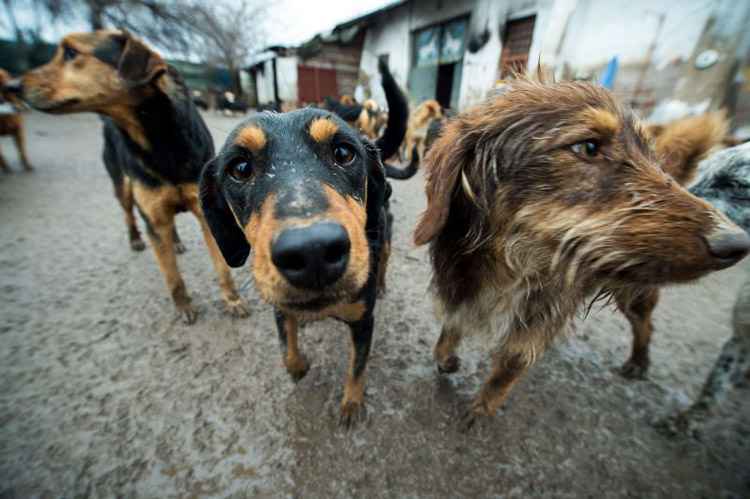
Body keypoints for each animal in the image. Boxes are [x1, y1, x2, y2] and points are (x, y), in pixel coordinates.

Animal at [10, 31, 248, 326]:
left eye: (71, 52)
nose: (12, 86)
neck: (159, 139)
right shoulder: (153, 212)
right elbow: (172, 276)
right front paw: (183, 306)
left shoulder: (203, 211)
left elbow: (222, 267)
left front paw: (232, 300)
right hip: (122, 187)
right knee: (129, 214)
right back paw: (136, 239)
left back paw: (176, 242)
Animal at [200, 60, 408, 428]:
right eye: (240, 168)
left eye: (343, 152)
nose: (313, 252)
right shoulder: (280, 307)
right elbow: (287, 345)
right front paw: (297, 365)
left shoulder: (363, 322)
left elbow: (357, 368)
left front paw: (351, 402)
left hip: (385, 238)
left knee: (383, 259)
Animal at [414, 77, 750, 430]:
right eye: (588, 147)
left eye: (649, 155)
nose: (736, 242)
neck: (509, 264)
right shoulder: (456, 287)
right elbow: (449, 331)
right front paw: (447, 358)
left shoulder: (537, 319)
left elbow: (508, 368)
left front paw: (482, 408)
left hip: (633, 294)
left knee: (644, 326)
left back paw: (639, 361)